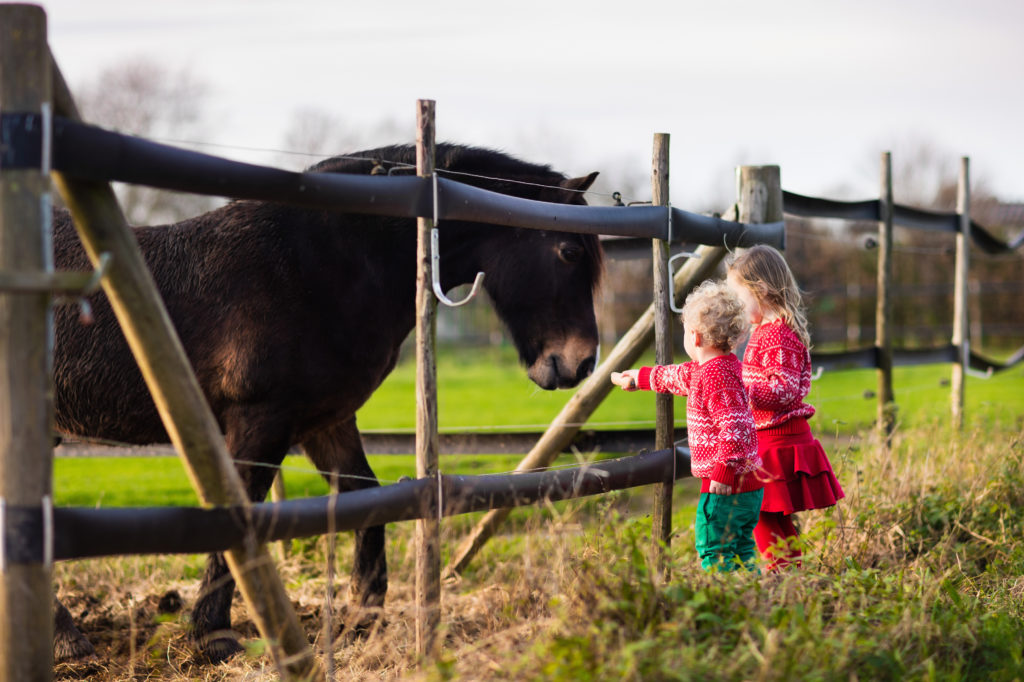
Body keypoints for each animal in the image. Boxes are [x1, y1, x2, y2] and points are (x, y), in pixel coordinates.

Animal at [51, 142, 602, 659]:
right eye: (569, 253)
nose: (581, 363)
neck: (325, 260)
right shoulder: (262, 419)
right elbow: (239, 514)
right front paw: (213, 634)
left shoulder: (325, 421)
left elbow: (368, 501)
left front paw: (361, 616)